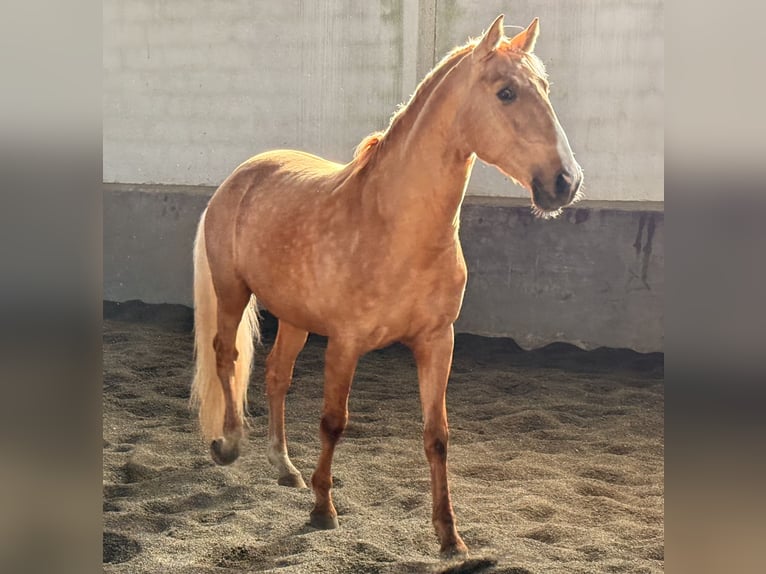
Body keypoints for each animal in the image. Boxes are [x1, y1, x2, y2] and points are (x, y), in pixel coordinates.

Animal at [192, 14, 584, 560]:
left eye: (544, 89)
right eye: (506, 93)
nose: (565, 183)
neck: (395, 226)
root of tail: (243, 174)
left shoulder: (437, 341)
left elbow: (437, 435)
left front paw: (449, 536)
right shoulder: (346, 343)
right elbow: (333, 421)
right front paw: (323, 510)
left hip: (294, 317)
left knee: (275, 377)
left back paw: (284, 468)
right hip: (232, 292)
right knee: (226, 357)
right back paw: (229, 445)